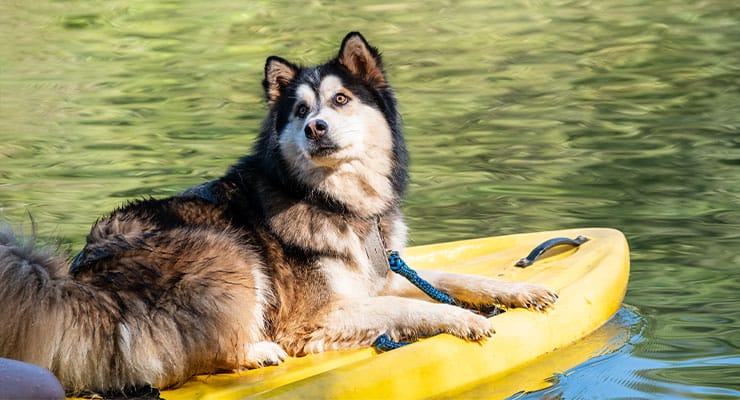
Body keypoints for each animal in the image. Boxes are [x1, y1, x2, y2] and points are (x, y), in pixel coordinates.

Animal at [0, 32, 556, 394]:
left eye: (340, 99)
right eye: (300, 111)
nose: (315, 128)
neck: (335, 201)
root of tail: (82, 283)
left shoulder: (377, 276)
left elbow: (450, 277)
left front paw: (516, 290)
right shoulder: (315, 318)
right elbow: (414, 308)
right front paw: (461, 318)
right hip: (224, 248)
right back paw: (256, 350)